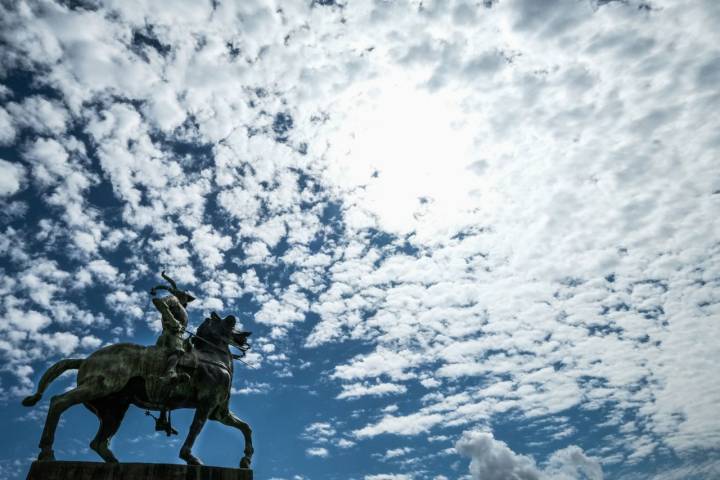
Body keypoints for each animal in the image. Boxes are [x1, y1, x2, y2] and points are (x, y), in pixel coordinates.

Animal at [20, 314, 253, 466]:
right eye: (228, 322)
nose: (246, 334)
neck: (213, 358)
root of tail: (85, 360)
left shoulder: (219, 412)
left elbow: (246, 427)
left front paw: (246, 459)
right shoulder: (206, 404)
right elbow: (195, 429)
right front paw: (190, 457)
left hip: (113, 409)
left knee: (99, 443)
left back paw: (115, 463)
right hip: (100, 386)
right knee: (59, 402)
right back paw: (47, 452)